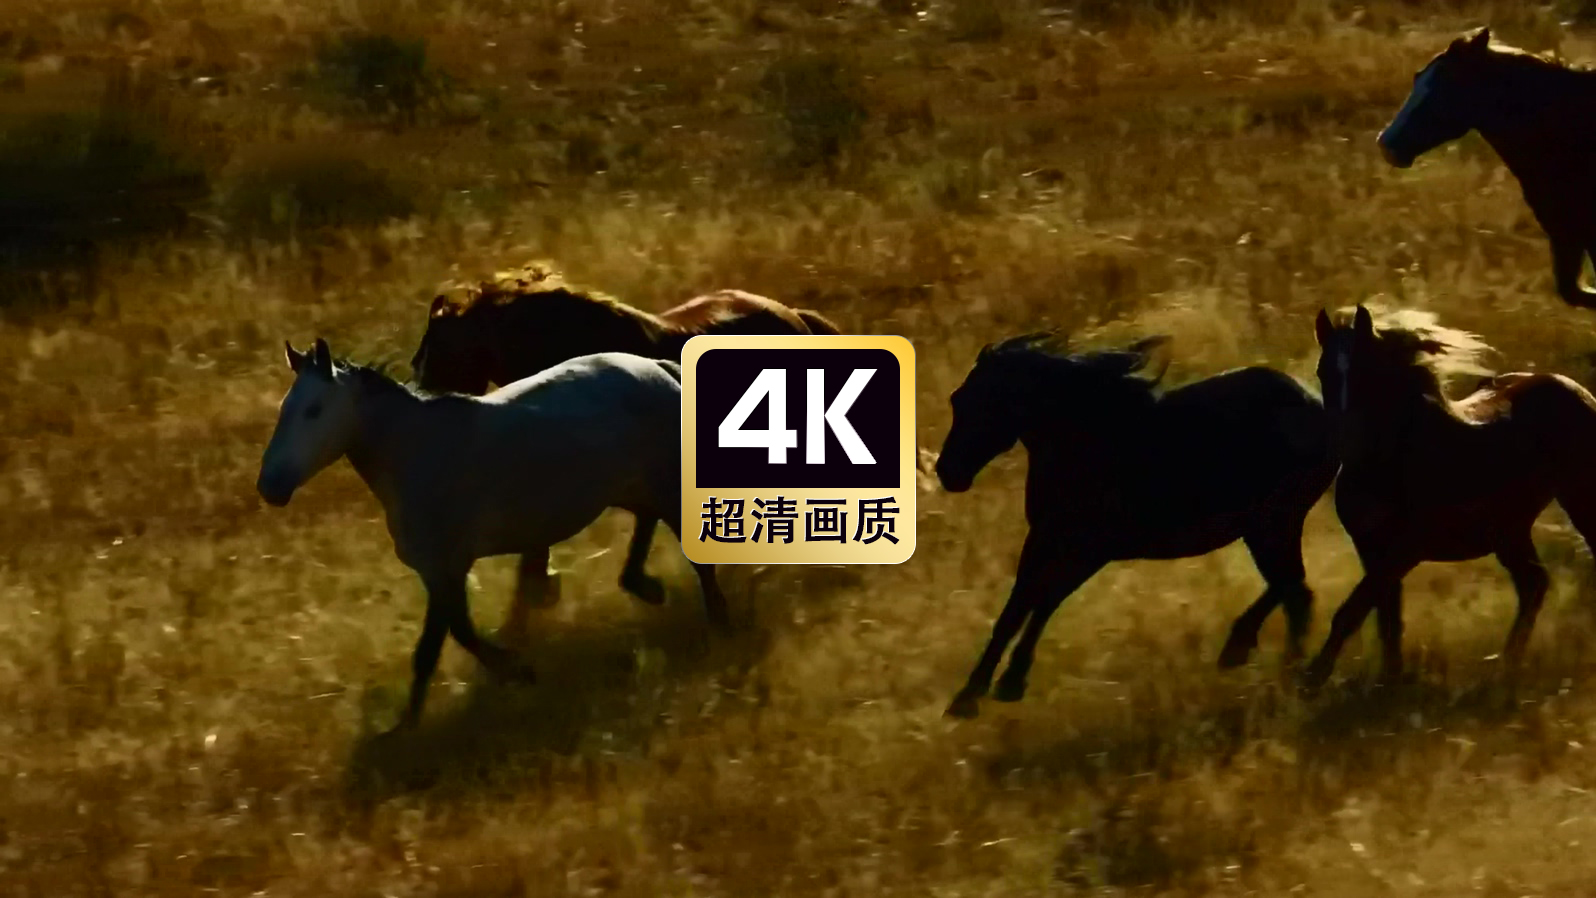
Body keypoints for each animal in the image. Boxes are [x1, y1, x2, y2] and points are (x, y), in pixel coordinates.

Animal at [256, 338, 729, 732]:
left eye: (314, 409)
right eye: (284, 408)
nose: (270, 487)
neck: (416, 453)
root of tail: (658, 368)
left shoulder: (446, 567)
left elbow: (448, 641)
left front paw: (518, 671)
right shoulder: (435, 572)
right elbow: (435, 648)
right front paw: (407, 724)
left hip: (665, 482)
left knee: (697, 558)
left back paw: (717, 622)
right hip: (630, 487)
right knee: (648, 525)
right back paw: (648, 588)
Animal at [932, 332, 1339, 719]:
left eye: (983, 402)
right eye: (958, 399)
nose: (948, 472)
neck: (1086, 444)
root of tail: (1319, 407)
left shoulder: (1092, 548)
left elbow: (1043, 601)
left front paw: (1003, 684)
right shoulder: (1044, 539)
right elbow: (1017, 608)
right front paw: (973, 694)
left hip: (1272, 523)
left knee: (1295, 592)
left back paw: (1277, 672)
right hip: (1268, 528)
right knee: (1291, 589)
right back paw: (1254, 657)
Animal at [1301, 305, 1596, 692]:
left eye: (1367, 371)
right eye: (1323, 371)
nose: (1343, 444)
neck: (1393, 458)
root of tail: (1574, 389)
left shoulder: (1405, 548)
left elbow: (1353, 611)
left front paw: (1312, 678)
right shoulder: (1370, 546)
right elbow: (1386, 618)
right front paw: (1388, 681)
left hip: (1577, 502)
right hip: (1509, 530)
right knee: (1533, 583)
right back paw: (1505, 667)